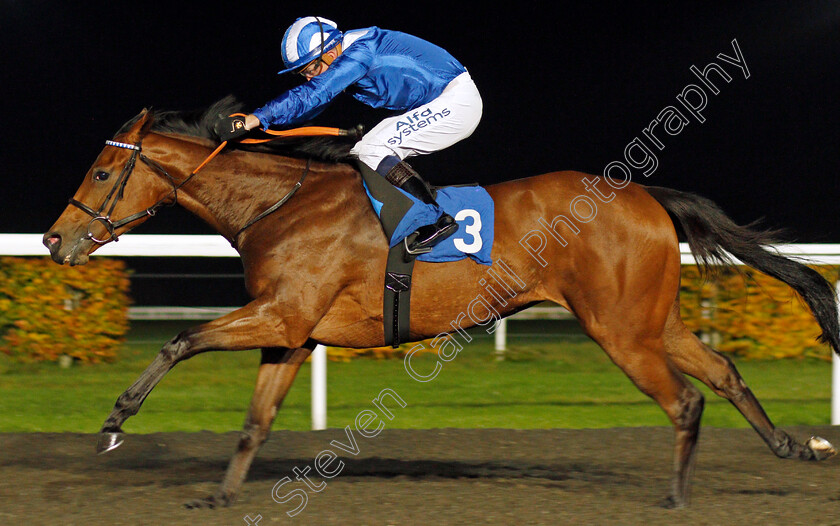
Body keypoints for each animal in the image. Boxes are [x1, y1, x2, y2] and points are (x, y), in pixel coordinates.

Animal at [44, 97, 840, 510]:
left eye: (104, 170)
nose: (55, 239)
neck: (281, 203)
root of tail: (645, 194)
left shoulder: (282, 314)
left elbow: (179, 342)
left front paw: (115, 421)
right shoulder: (292, 332)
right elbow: (254, 422)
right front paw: (220, 496)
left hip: (619, 328)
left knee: (685, 399)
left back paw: (676, 498)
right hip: (650, 320)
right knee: (723, 372)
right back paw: (794, 445)